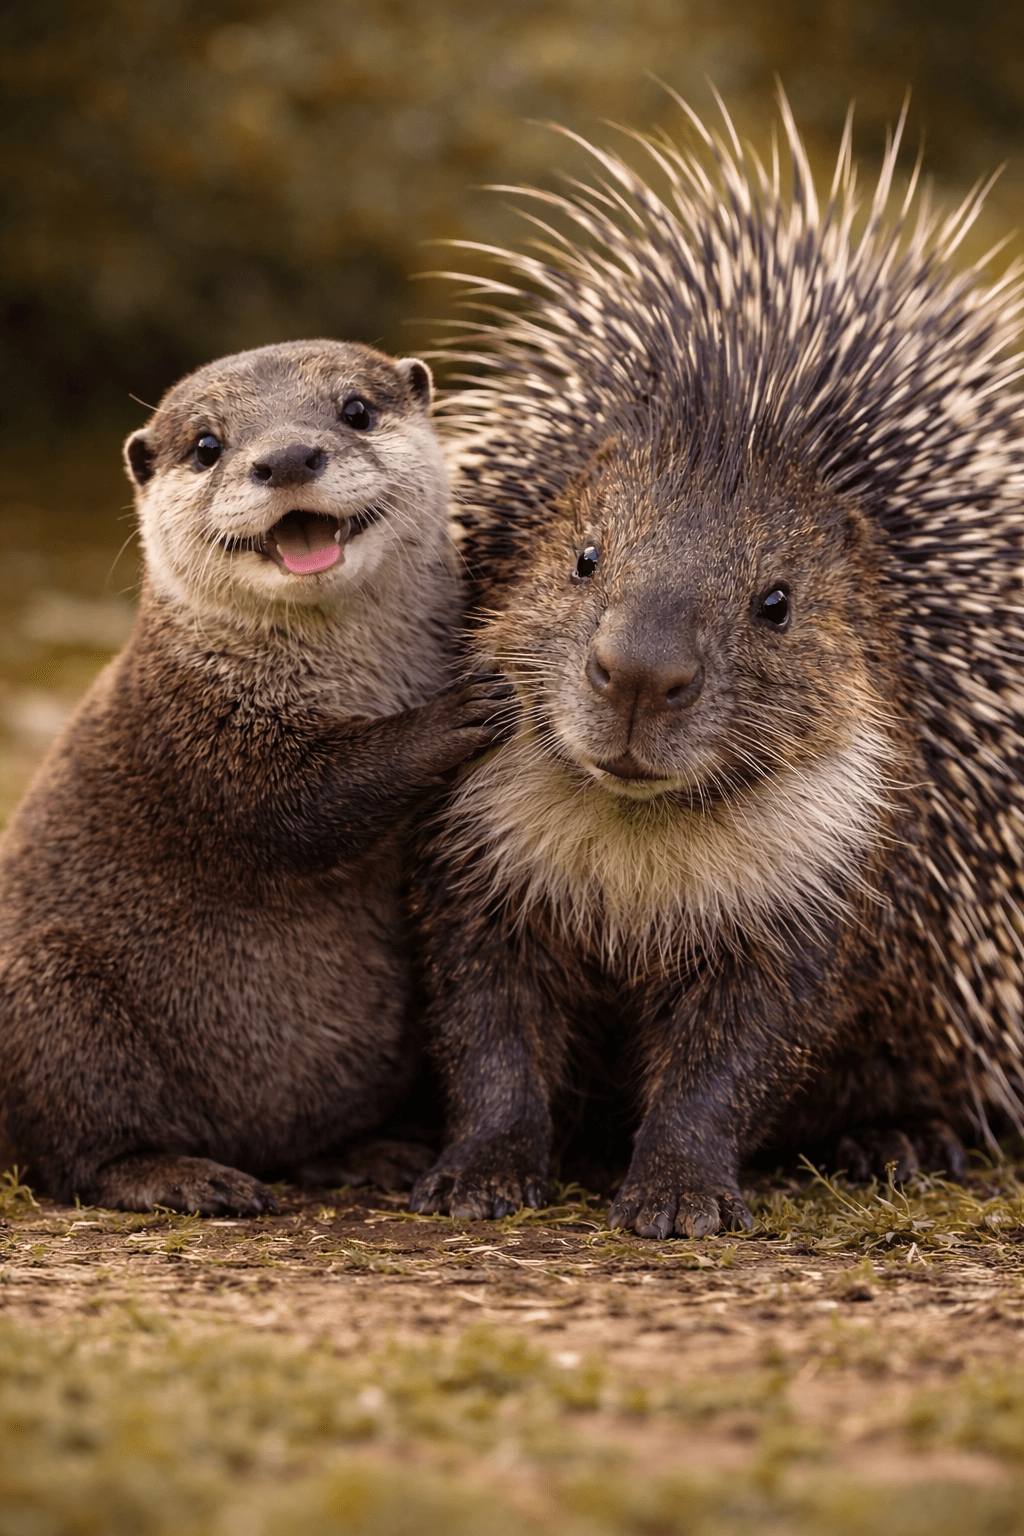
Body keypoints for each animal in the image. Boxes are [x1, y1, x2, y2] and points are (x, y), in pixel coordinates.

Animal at [0, 339, 506, 1215]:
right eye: (207, 446)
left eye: (354, 410)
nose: (289, 457)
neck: (355, 683)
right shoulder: (194, 736)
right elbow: (297, 809)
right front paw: (465, 706)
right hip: (46, 996)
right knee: (73, 1152)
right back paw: (183, 1175)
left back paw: (365, 1153)